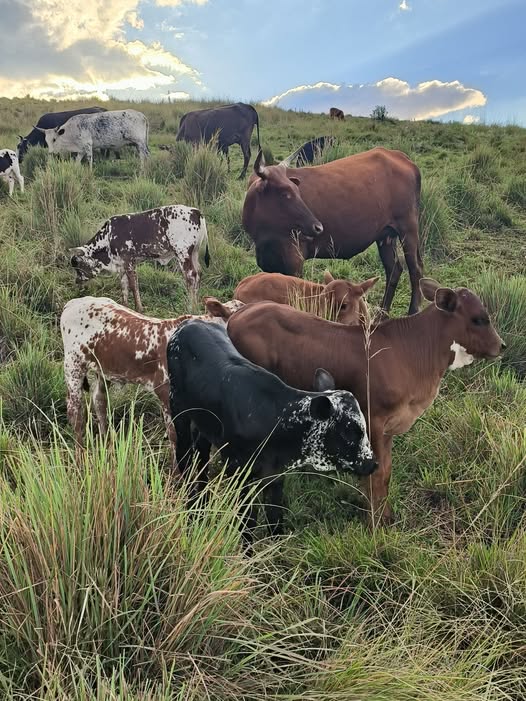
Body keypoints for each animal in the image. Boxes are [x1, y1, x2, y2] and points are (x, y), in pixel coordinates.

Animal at [61, 295, 244, 471]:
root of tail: (75, 302)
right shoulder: (166, 394)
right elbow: (175, 436)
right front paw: (176, 476)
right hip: (73, 366)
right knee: (76, 414)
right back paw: (79, 460)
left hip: (103, 369)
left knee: (99, 401)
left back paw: (107, 446)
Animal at [69, 205, 210, 313]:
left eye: (77, 265)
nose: (77, 281)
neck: (108, 237)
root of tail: (195, 210)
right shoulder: (122, 265)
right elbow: (124, 286)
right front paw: (125, 306)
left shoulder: (129, 261)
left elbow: (133, 284)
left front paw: (139, 308)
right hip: (194, 253)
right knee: (199, 273)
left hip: (183, 253)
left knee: (191, 276)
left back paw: (191, 307)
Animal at [166, 320, 377, 538]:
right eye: (350, 431)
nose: (372, 463)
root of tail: (190, 323)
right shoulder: (240, 475)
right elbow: (247, 523)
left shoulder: (275, 476)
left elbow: (275, 520)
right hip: (178, 411)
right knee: (185, 457)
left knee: (202, 457)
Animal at [227, 278, 505, 525]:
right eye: (478, 318)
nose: (501, 346)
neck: (413, 352)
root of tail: (237, 316)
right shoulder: (373, 420)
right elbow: (377, 473)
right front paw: (375, 521)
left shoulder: (389, 427)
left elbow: (387, 472)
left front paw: (384, 514)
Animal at [242, 147, 423, 315]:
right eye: (284, 193)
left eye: (297, 191)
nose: (318, 227)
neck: (265, 237)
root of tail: (398, 155)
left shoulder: (294, 260)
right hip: (385, 236)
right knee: (394, 270)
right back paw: (382, 314)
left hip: (408, 229)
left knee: (415, 269)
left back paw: (413, 311)